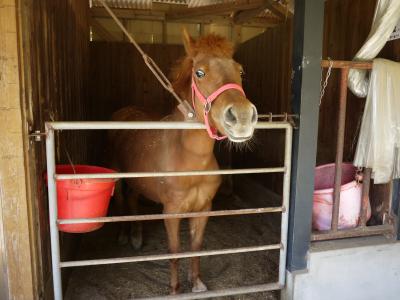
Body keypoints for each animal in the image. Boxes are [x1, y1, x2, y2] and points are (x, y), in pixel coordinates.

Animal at [109, 31, 258, 296]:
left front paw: (196, 282)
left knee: (133, 199)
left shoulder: (203, 209)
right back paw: (125, 236)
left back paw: (136, 236)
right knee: (120, 201)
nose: (241, 118)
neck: (191, 161)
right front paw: (175, 289)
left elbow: (196, 247)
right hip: (116, 174)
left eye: (240, 71)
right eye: (199, 72)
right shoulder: (171, 212)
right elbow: (174, 251)